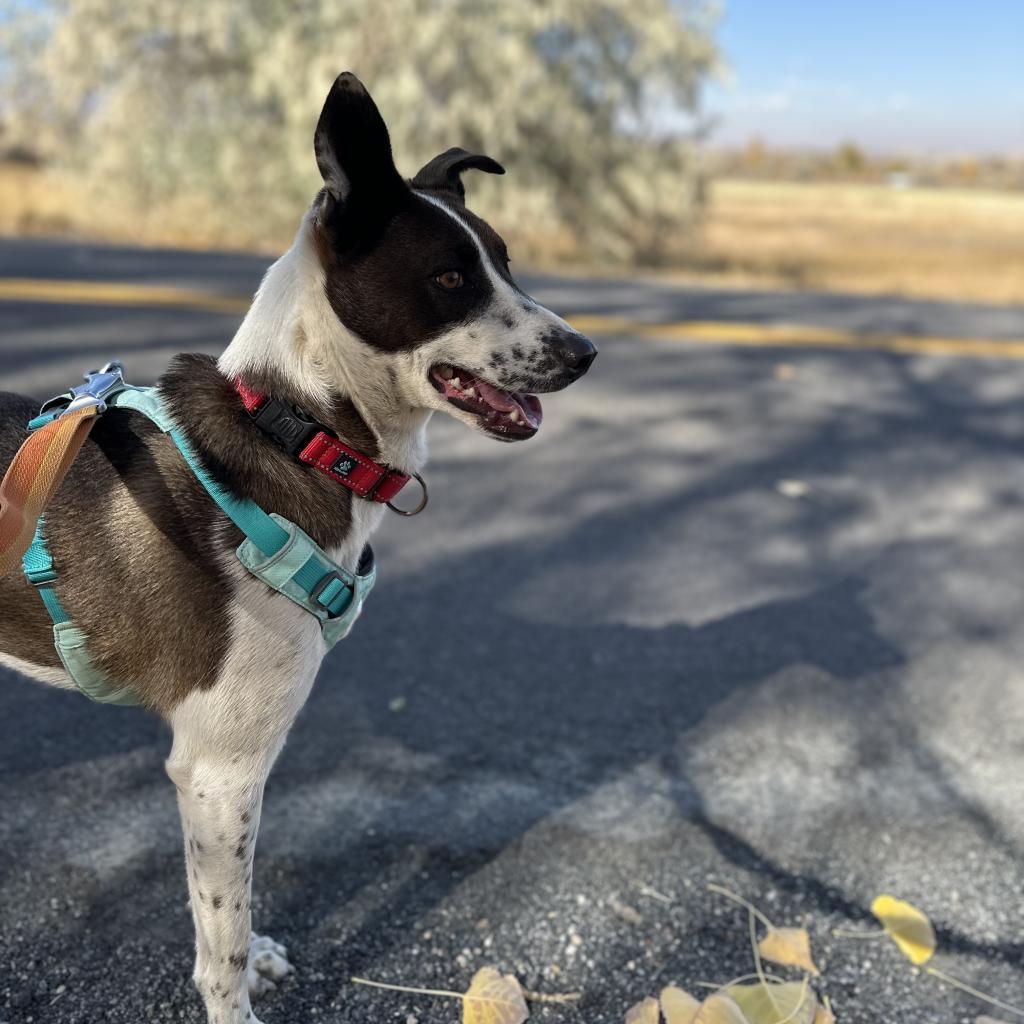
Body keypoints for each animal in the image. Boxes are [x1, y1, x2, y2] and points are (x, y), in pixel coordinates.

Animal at [0, 74, 598, 1024]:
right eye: (451, 277)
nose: (586, 353)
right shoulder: (219, 770)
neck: (296, 430)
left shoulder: (222, 780)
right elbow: (222, 943)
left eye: (507, 262)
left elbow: (224, 920)